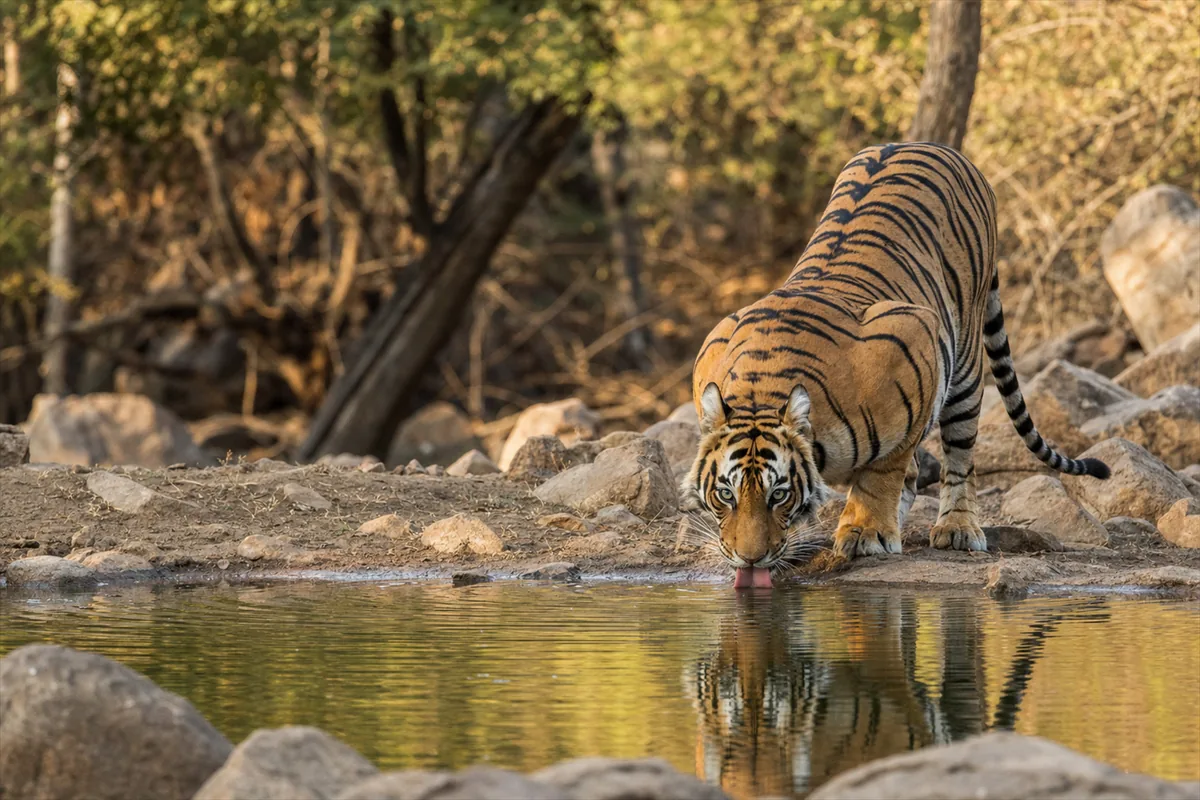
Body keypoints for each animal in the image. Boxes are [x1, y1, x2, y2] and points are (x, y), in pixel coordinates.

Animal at [683, 142, 1110, 587]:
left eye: (778, 494)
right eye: (726, 494)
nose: (749, 559)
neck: (760, 389)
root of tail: (933, 147)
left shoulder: (914, 339)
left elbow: (882, 471)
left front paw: (865, 531)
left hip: (965, 367)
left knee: (959, 456)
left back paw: (957, 528)